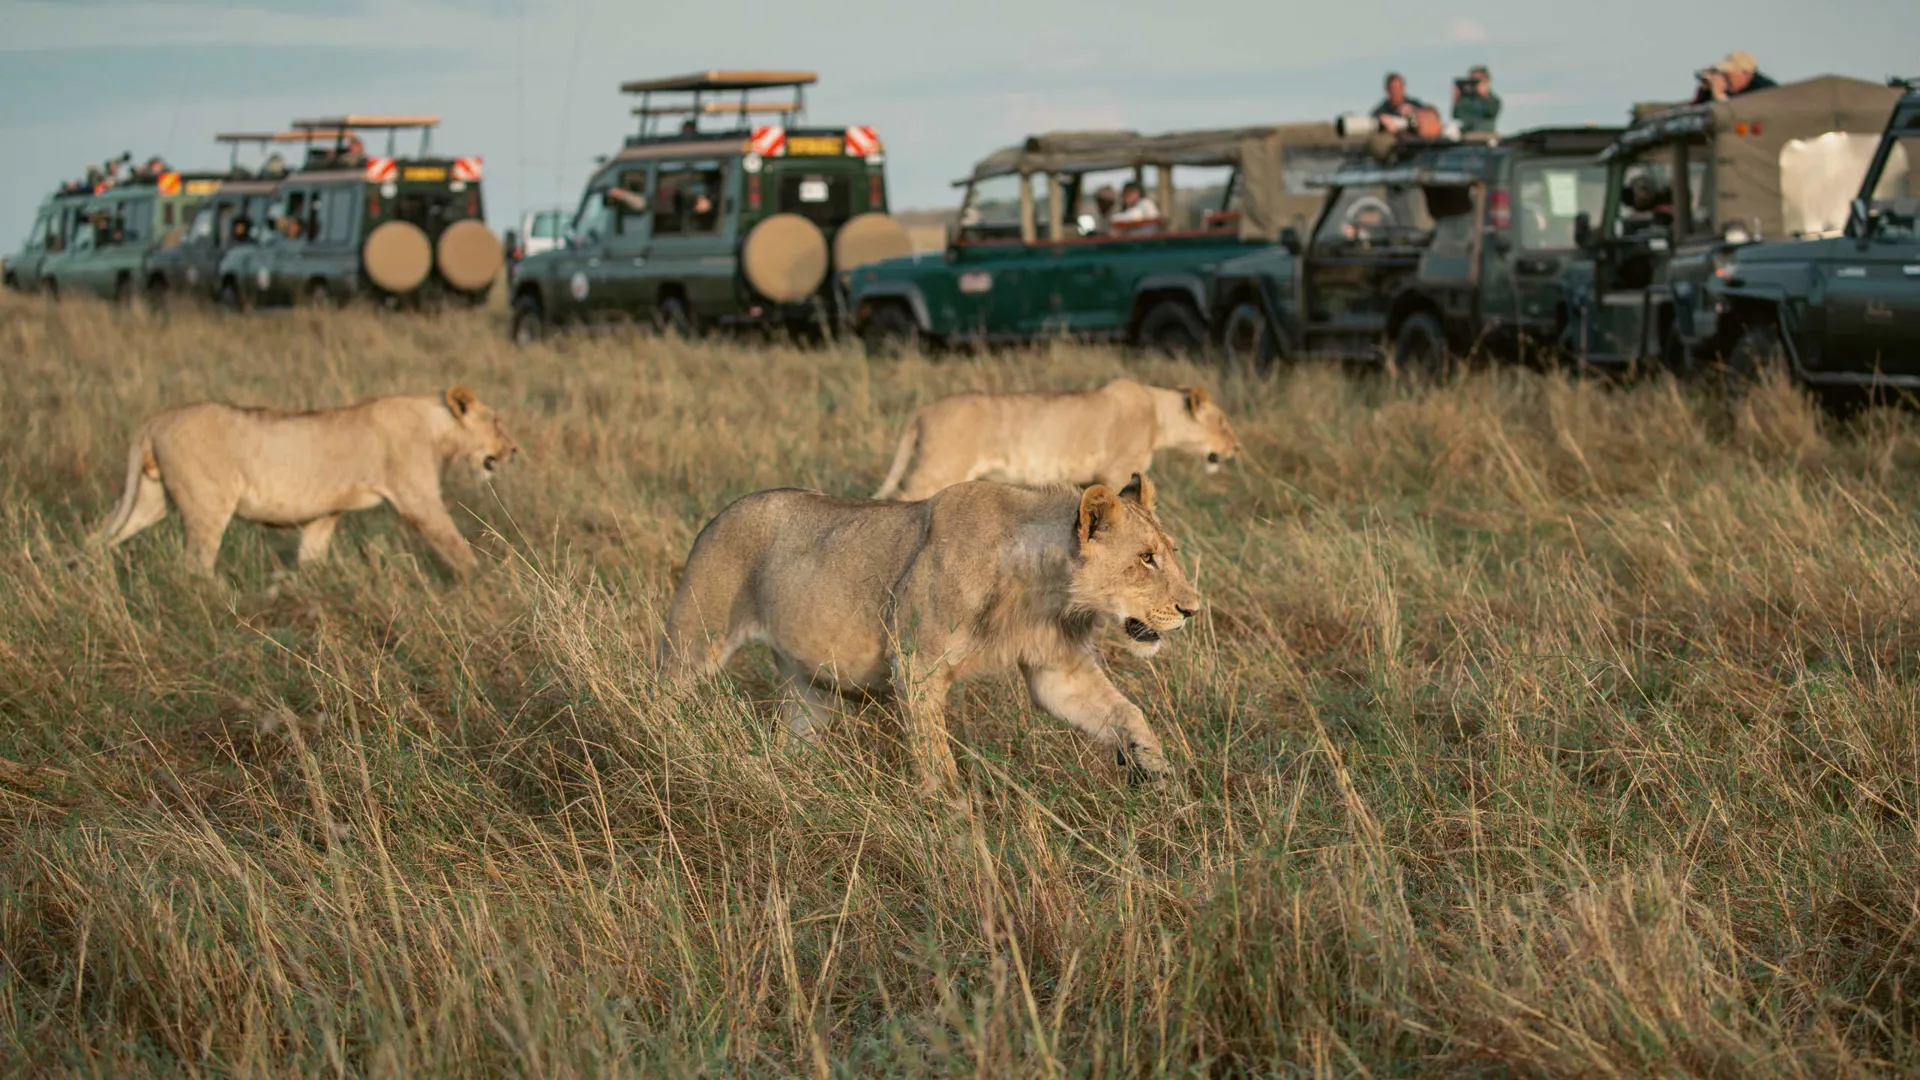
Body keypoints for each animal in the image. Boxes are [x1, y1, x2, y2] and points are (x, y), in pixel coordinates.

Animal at [93, 386, 518, 576]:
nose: (514, 450)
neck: (436, 424)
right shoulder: (418, 499)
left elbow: (311, 557)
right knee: (195, 566)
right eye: (497, 422)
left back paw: (89, 571)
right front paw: (484, 579)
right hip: (208, 506)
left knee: (100, 535)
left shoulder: (324, 515)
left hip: (148, 500)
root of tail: (155, 419)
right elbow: (454, 543)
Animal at [657, 473, 1201, 793]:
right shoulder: (915, 665)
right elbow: (938, 763)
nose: (1192, 610)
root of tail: (719, 513)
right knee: (663, 692)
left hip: (809, 687)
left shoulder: (1058, 672)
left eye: (1170, 551)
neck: (1043, 589)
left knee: (793, 738)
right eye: (1145, 559)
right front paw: (957, 827)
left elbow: (1127, 713)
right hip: (694, 638)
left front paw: (1159, 771)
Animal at [873, 378, 1240, 501]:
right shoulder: (1117, 470)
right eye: (1223, 422)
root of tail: (922, 411)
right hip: (937, 470)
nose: (1237, 448)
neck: (1158, 413)